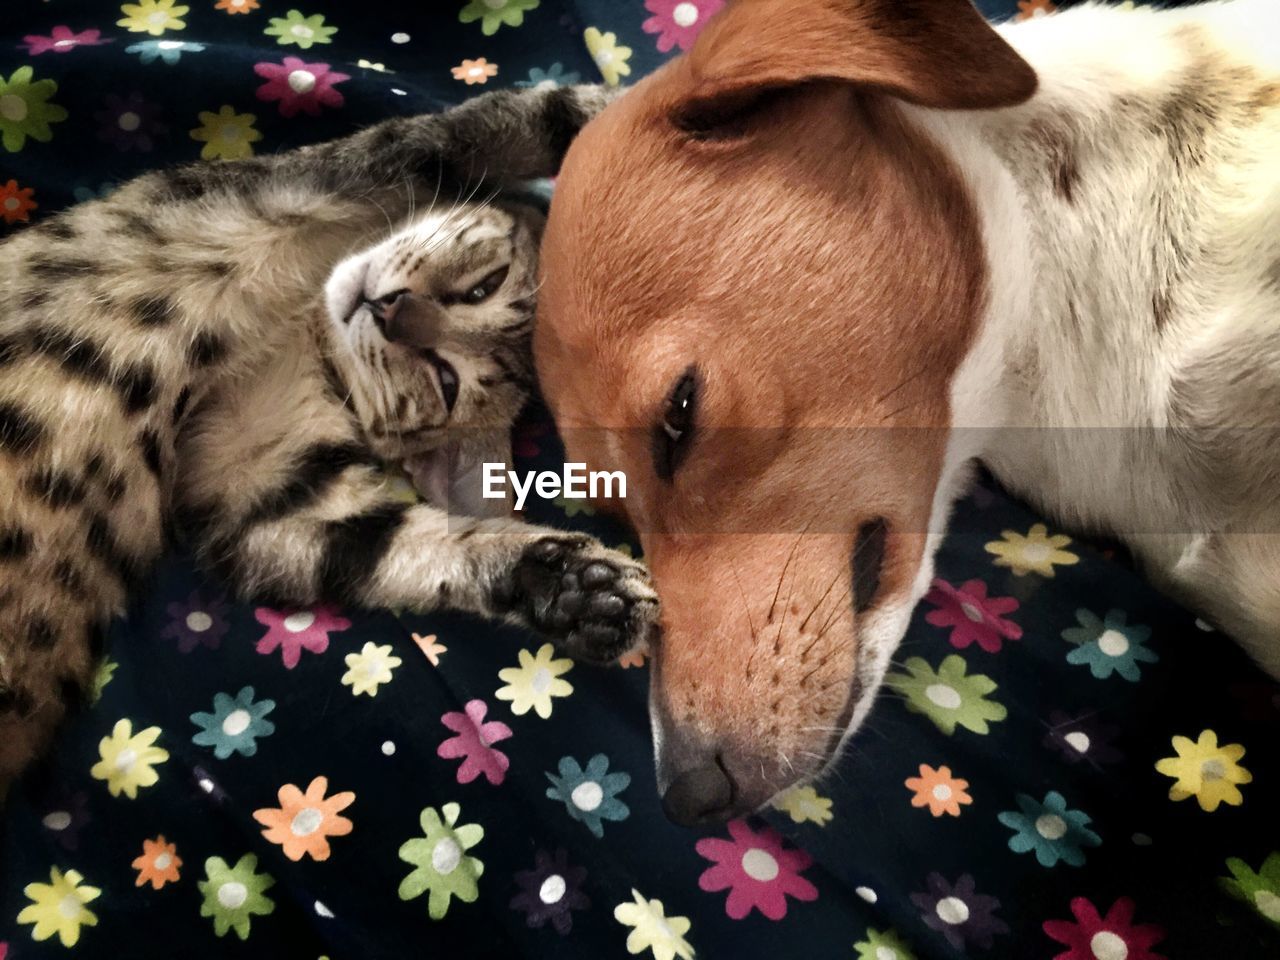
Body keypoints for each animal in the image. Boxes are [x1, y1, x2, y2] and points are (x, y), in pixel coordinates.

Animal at [0, 86, 660, 783]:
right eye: (486, 285)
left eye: (446, 379)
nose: (392, 311)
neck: (304, 328)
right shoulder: (318, 175)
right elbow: (489, 123)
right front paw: (620, 99)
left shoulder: (261, 494)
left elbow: (396, 545)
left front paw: (573, 589)